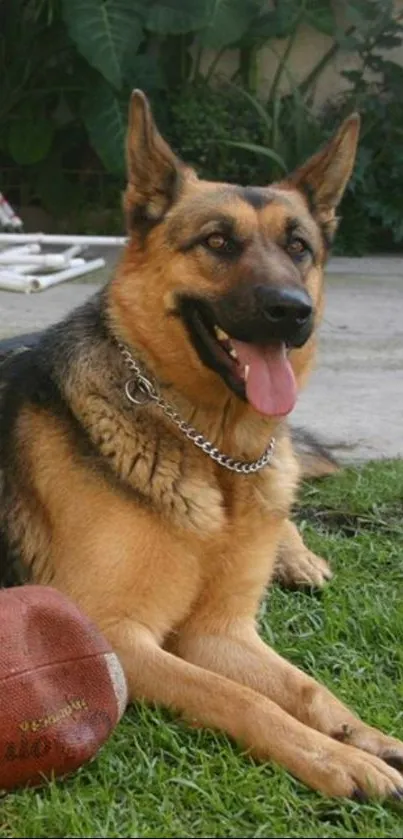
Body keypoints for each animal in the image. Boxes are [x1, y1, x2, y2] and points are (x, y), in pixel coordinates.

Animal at [0, 93, 403, 800]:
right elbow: (244, 698)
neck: (218, 457)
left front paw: (365, 736)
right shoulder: (120, 634)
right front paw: (339, 758)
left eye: (299, 248)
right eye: (218, 242)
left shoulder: (221, 630)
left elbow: (308, 689)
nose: (293, 312)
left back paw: (298, 557)